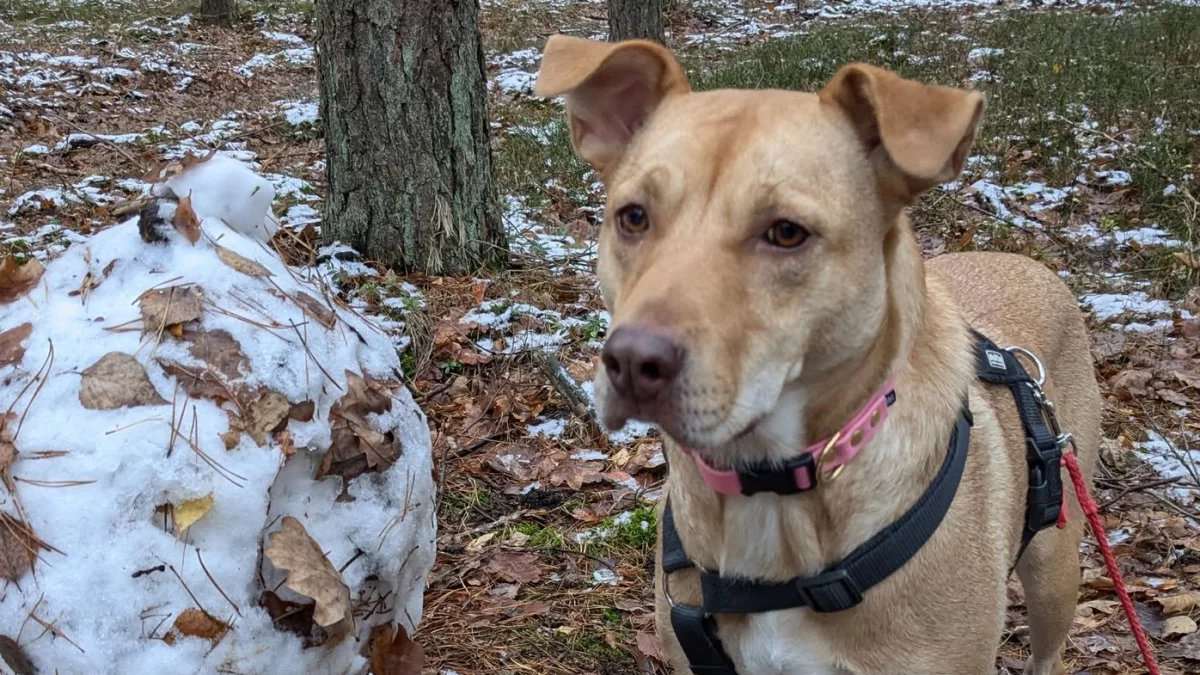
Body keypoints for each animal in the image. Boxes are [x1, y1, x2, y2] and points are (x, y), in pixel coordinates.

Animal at [535, 35, 1099, 672]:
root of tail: (1029, 261)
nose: (632, 363)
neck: (772, 489)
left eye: (786, 232)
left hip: (1055, 567)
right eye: (633, 217)